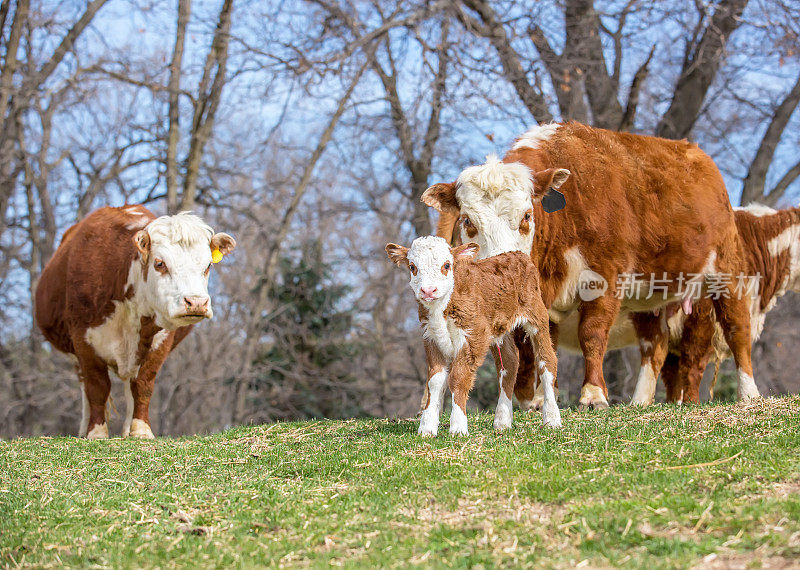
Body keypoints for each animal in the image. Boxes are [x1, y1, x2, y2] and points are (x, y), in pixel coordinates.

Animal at [35, 205, 234, 440]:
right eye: (160, 263)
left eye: (208, 265)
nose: (196, 302)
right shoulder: (83, 340)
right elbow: (97, 386)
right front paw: (96, 432)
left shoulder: (161, 340)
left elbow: (142, 384)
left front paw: (140, 430)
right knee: (85, 385)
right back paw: (84, 429)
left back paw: (126, 431)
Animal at [384, 235, 560, 434]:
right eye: (413, 267)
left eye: (447, 265)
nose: (428, 290)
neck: (442, 308)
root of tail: (516, 254)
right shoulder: (431, 336)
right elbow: (434, 380)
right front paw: (427, 428)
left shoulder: (472, 335)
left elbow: (458, 377)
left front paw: (458, 427)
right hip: (498, 328)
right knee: (509, 362)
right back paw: (502, 421)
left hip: (537, 316)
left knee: (546, 361)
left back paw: (552, 418)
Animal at [422, 122, 760, 410]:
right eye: (468, 220)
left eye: (527, 215)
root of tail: (696, 154)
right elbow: (542, 342)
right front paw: (541, 398)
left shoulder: (605, 277)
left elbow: (592, 333)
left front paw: (594, 394)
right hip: (651, 296)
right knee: (654, 346)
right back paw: (640, 401)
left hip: (727, 270)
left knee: (737, 329)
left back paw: (749, 393)